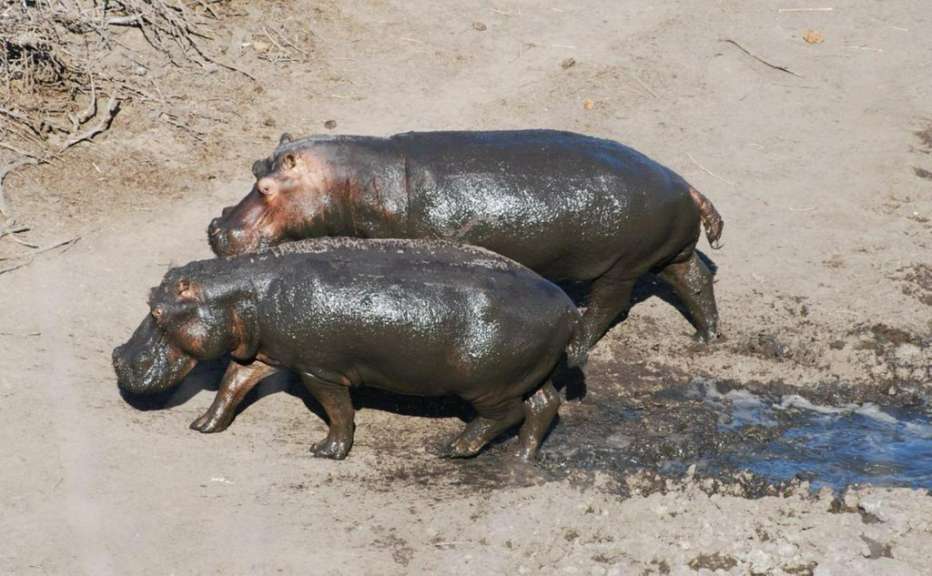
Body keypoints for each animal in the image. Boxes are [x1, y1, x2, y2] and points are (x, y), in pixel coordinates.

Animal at [113, 238, 586, 460]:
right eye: (150, 295)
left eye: (158, 312)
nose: (117, 359)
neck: (241, 292)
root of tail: (569, 309)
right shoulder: (260, 354)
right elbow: (231, 385)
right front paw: (203, 425)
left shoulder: (318, 371)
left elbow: (338, 410)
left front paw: (326, 452)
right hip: (526, 374)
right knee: (544, 405)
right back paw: (523, 455)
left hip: (486, 385)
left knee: (506, 414)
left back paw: (455, 448)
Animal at [207, 130, 724, 349]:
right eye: (253, 166)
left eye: (266, 187)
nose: (216, 230)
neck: (350, 179)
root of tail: (688, 187)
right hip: (667, 254)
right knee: (695, 280)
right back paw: (706, 337)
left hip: (623, 266)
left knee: (607, 306)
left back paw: (581, 342)